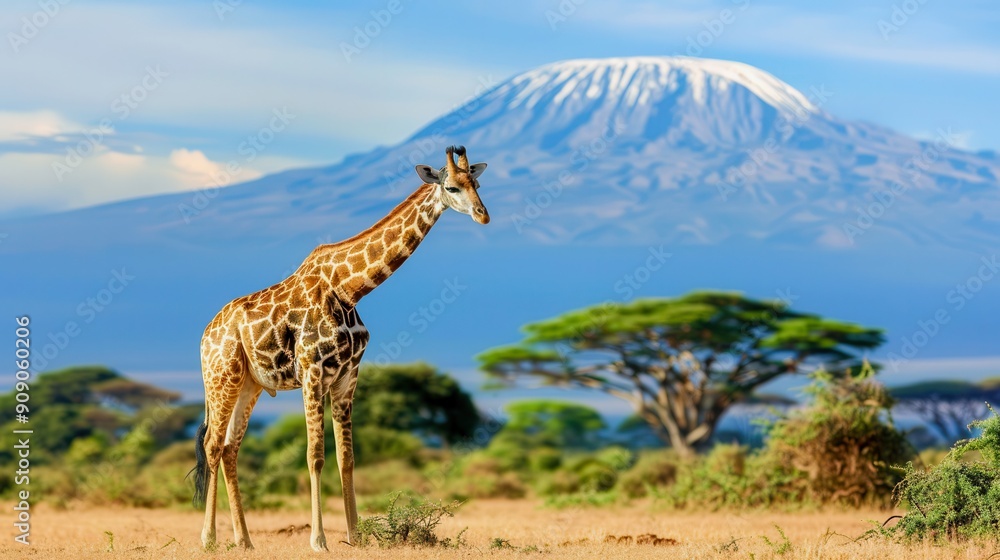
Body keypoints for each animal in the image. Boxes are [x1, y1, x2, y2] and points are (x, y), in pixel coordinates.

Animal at [190, 145, 489, 551]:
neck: (349, 289)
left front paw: (355, 536)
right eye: (451, 187)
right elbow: (315, 455)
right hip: (222, 378)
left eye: (476, 184)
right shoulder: (313, 372)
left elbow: (346, 457)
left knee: (230, 449)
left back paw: (245, 541)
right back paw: (208, 538)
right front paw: (319, 540)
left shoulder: (348, 376)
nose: (483, 215)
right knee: (211, 445)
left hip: (250, 385)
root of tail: (206, 334)